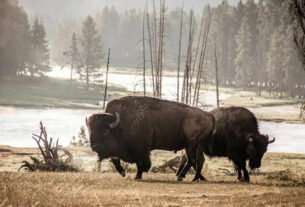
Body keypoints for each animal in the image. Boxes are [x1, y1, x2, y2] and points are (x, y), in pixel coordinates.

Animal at [85, 96, 214, 180]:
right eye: (90, 130)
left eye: (105, 131)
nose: (94, 147)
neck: (120, 123)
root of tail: (208, 115)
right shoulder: (119, 151)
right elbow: (116, 161)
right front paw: (123, 173)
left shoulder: (141, 149)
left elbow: (141, 163)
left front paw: (138, 176)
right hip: (195, 146)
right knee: (197, 160)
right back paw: (196, 178)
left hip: (191, 145)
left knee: (191, 160)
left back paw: (181, 177)